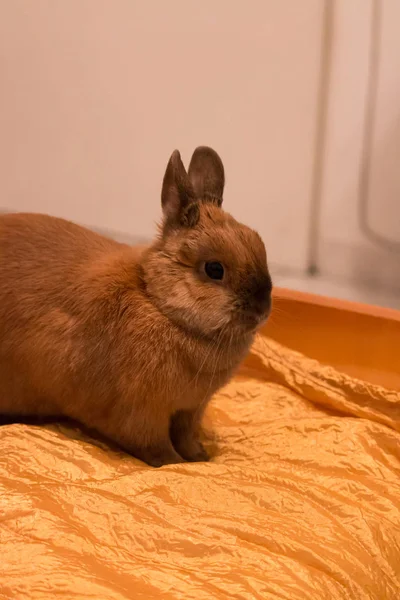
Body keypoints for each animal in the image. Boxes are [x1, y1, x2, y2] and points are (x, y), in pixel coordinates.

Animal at [0, 148, 272, 466]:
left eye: (260, 245)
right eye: (214, 269)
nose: (262, 310)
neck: (157, 303)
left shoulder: (190, 410)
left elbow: (186, 437)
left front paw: (200, 458)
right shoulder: (144, 415)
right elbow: (157, 447)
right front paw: (177, 464)